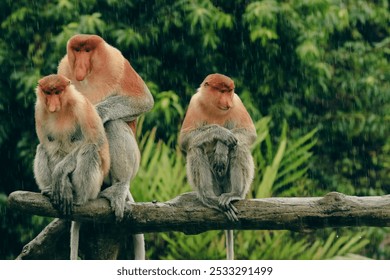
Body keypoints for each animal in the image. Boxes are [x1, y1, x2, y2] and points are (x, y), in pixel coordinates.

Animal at [33, 74, 109, 260]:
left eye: (58, 92)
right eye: (48, 93)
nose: (52, 105)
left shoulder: (81, 106)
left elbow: (95, 140)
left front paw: (61, 175)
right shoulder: (39, 110)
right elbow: (49, 144)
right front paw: (62, 187)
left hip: (95, 186)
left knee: (89, 149)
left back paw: (79, 197)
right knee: (42, 148)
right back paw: (50, 190)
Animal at [58, 34, 154, 260]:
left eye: (87, 50)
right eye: (77, 50)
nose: (80, 66)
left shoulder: (117, 63)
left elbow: (143, 99)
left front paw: (96, 113)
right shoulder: (63, 70)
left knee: (113, 124)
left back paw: (118, 188)